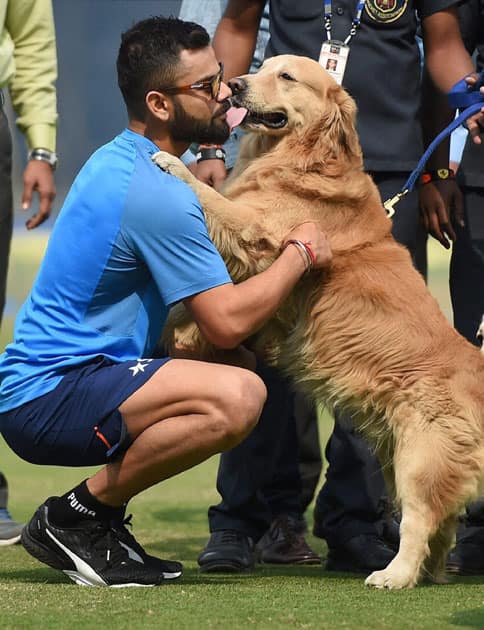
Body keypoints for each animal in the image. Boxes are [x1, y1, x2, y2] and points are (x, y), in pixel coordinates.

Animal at [153, 55, 484, 592]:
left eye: (286, 77)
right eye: (264, 66)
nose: (236, 85)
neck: (299, 158)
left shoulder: (258, 233)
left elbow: (215, 201)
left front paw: (173, 165)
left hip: (418, 459)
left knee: (420, 520)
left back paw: (393, 574)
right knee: (442, 525)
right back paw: (428, 574)